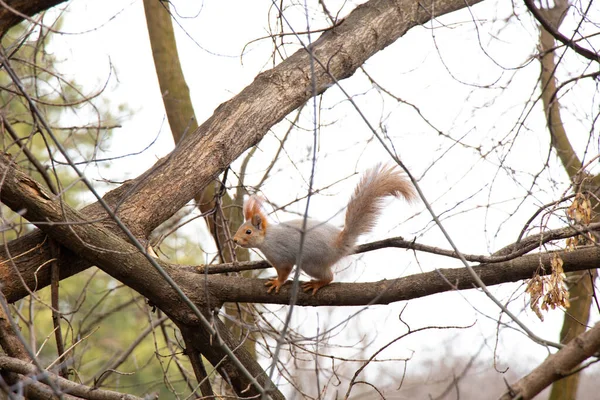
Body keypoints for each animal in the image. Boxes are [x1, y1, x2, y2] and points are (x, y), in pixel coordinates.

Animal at [232, 162, 414, 294]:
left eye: (248, 231)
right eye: (240, 228)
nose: (234, 240)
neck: (267, 239)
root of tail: (338, 246)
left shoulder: (281, 256)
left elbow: (284, 272)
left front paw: (277, 282)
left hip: (312, 263)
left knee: (330, 277)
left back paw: (317, 284)